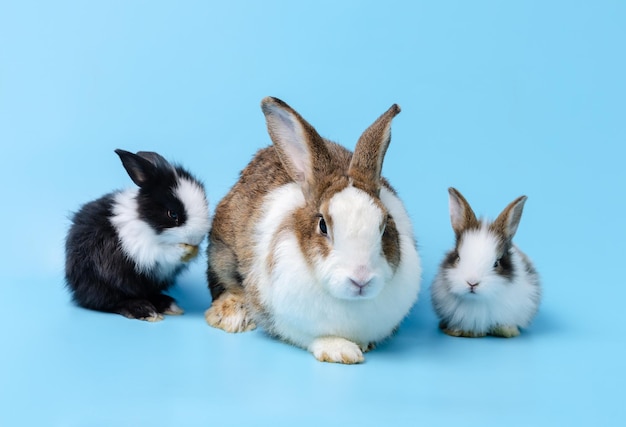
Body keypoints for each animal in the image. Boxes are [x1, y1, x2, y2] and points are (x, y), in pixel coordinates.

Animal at [64, 150, 210, 320]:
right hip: (99, 282)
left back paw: (168, 305)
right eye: (172, 214)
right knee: (110, 301)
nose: (196, 239)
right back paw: (145, 310)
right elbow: (161, 253)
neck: (145, 220)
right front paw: (185, 251)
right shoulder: (140, 247)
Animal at [204, 98, 420, 364]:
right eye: (323, 225)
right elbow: (309, 336)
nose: (361, 279)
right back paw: (233, 316)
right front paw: (340, 350)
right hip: (222, 254)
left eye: (385, 224)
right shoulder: (280, 316)